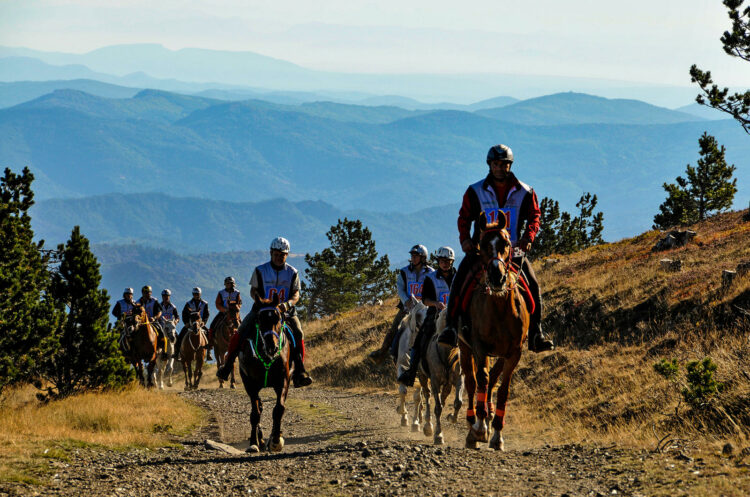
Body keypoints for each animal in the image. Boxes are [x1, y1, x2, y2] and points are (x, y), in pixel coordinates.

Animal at [239, 294, 292, 454]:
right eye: (259, 319)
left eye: (278, 318)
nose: (272, 347)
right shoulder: (250, 384)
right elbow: (255, 414)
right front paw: (253, 442)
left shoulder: (283, 381)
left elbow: (278, 409)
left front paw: (275, 440)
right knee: (258, 409)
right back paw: (260, 440)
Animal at [394, 296, 428, 432]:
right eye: (418, 315)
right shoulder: (401, 368)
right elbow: (402, 390)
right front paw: (403, 414)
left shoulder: (420, 373)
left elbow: (417, 398)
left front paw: (415, 423)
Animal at [418, 308, 464, 444]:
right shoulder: (435, 381)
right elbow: (437, 408)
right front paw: (438, 435)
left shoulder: (459, 379)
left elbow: (458, 402)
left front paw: (451, 417)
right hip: (422, 376)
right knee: (427, 396)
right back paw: (428, 426)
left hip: (447, 384)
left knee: (442, 398)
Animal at [462, 221, 532, 450]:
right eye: (482, 244)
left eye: (506, 244)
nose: (497, 277)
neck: (500, 308)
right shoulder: (479, 347)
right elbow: (481, 380)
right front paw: (480, 428)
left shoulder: (514, 352)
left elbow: (503, 389)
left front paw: (497, 434)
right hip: (464, 348)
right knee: (472, 382)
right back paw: (472, 424)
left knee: (492, 379)